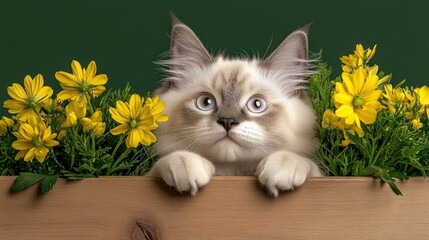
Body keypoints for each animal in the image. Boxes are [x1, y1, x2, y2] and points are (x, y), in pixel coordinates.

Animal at [147, 17, 320, 197]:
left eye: (257, 104)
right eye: (206, 102)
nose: (227, 121)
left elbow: (309, 165)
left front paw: (285, 165)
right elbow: (159, 166)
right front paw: (183, 163)